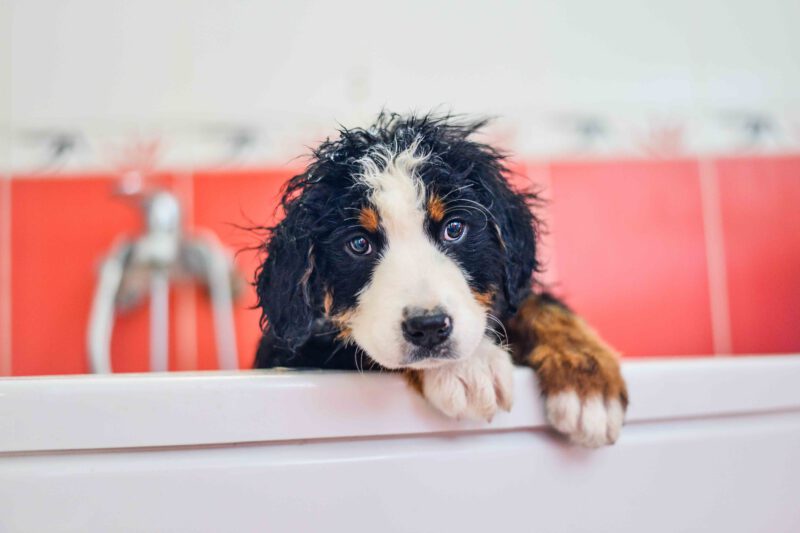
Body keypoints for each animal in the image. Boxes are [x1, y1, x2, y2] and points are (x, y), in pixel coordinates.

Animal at [253, 113, 628, 448]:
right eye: (359, 244)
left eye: (454, 228)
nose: (429, 327)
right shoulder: (292, 350)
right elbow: (356, 345)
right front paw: (471, 367)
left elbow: (536, 304)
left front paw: (588, 383)